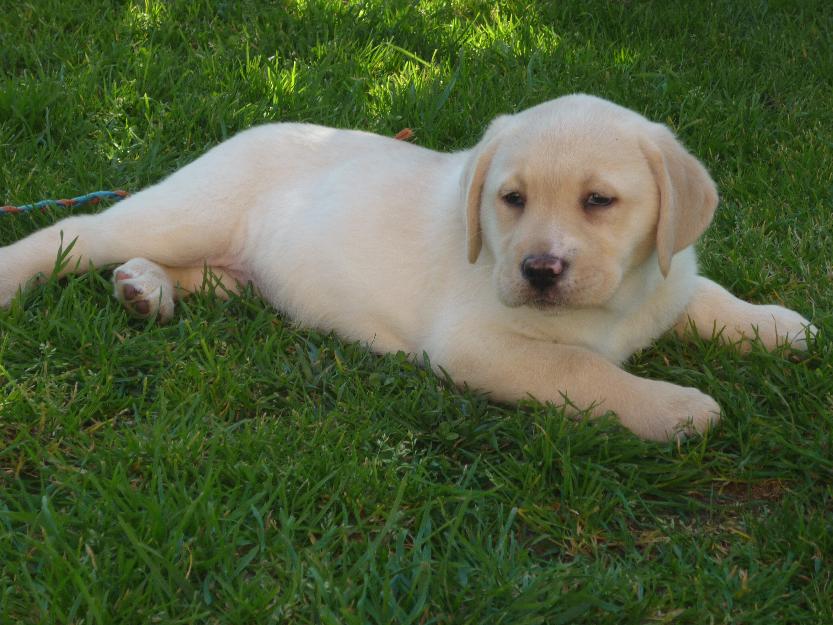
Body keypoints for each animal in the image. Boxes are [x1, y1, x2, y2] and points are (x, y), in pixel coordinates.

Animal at [0, 96, 812, 438]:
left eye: (599, 201)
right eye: (511, 199)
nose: (539, 269)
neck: (614, 302)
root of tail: (254, 129)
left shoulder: (668, 280)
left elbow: (708, 298)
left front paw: (777, 327)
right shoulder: (476, 345)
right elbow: (585, 371)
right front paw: (676, 409)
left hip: (235, 267)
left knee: (198, 274)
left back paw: (146, 289)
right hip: (189, 209)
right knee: (78, 231)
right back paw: (24, 272)